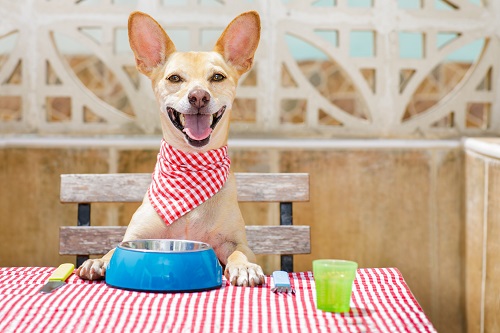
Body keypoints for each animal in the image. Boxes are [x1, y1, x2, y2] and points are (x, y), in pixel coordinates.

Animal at [75, 10, 266, 286]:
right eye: (174, 78)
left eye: (217, 77)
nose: (199, 96)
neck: (190, 167)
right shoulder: (134, 236)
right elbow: (113, 249)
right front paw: (98, 260)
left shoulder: (236, 241)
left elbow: (239, 252)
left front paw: (244, 267)